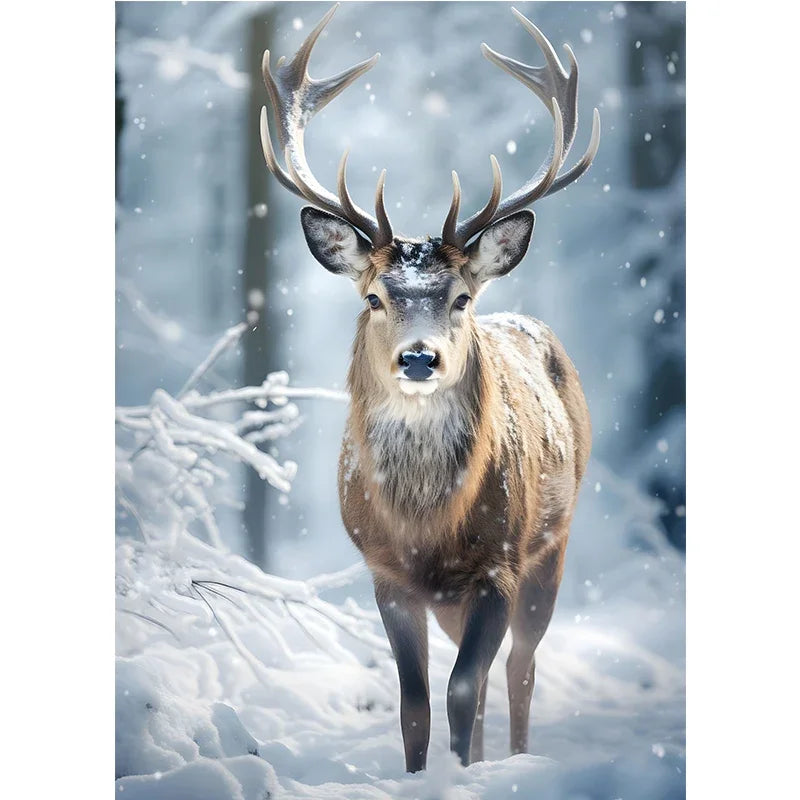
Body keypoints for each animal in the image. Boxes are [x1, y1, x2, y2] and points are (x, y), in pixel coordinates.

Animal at [259, 4, 600, 772]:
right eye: (376, 295)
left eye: (462, 297)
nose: (420, 359)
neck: (426, 530)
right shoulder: (384, 571)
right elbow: (415, 701)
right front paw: (421, 774)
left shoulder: (499, 564)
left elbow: (463, 688)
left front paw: (466, 773)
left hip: (552, 547)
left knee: (520, 667)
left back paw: (514, 757)